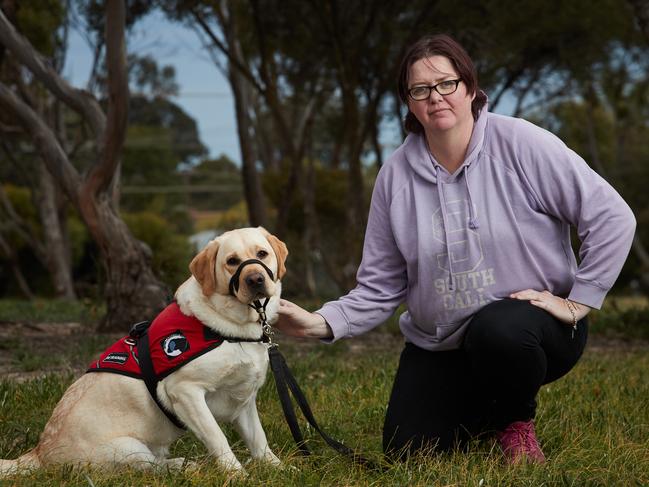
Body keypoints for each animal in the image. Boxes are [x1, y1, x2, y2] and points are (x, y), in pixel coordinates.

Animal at [0, 227, 288, 474]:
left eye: (262, 253)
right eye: (231, 261)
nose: (255, 279)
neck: (230, 328)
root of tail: (40, 452)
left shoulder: (243, 400)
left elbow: (259, 441)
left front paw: (281, 469)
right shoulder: (185, 392)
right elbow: (217, 437)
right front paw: (237, 474)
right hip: (127, 448)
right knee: (151, 466)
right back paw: (183, 466)